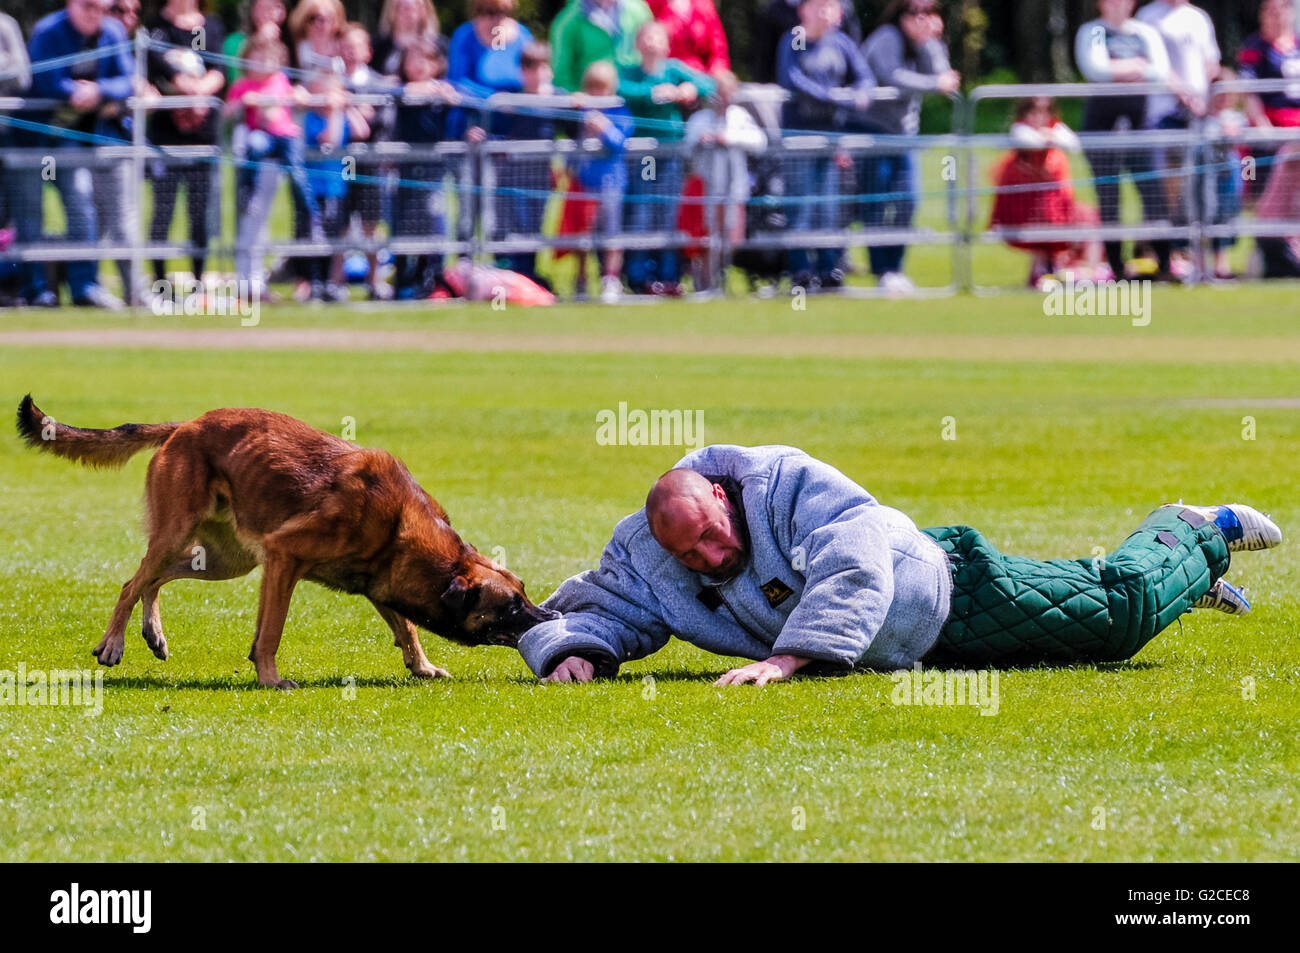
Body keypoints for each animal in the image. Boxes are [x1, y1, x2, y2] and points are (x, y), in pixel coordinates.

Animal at [15, 397, 556, 686]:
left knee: (153, 580)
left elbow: (407, 628)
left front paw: (421, 667)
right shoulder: (283, 559)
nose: (551, 617)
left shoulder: (378, 582)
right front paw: (271, 679)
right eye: (512, 606)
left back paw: (153, 633)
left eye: (525, 593)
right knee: (132, 583)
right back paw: (113, 643)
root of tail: (186, 425)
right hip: (180, 536)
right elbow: (270, 632)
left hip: (223, 560)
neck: (399, 527)